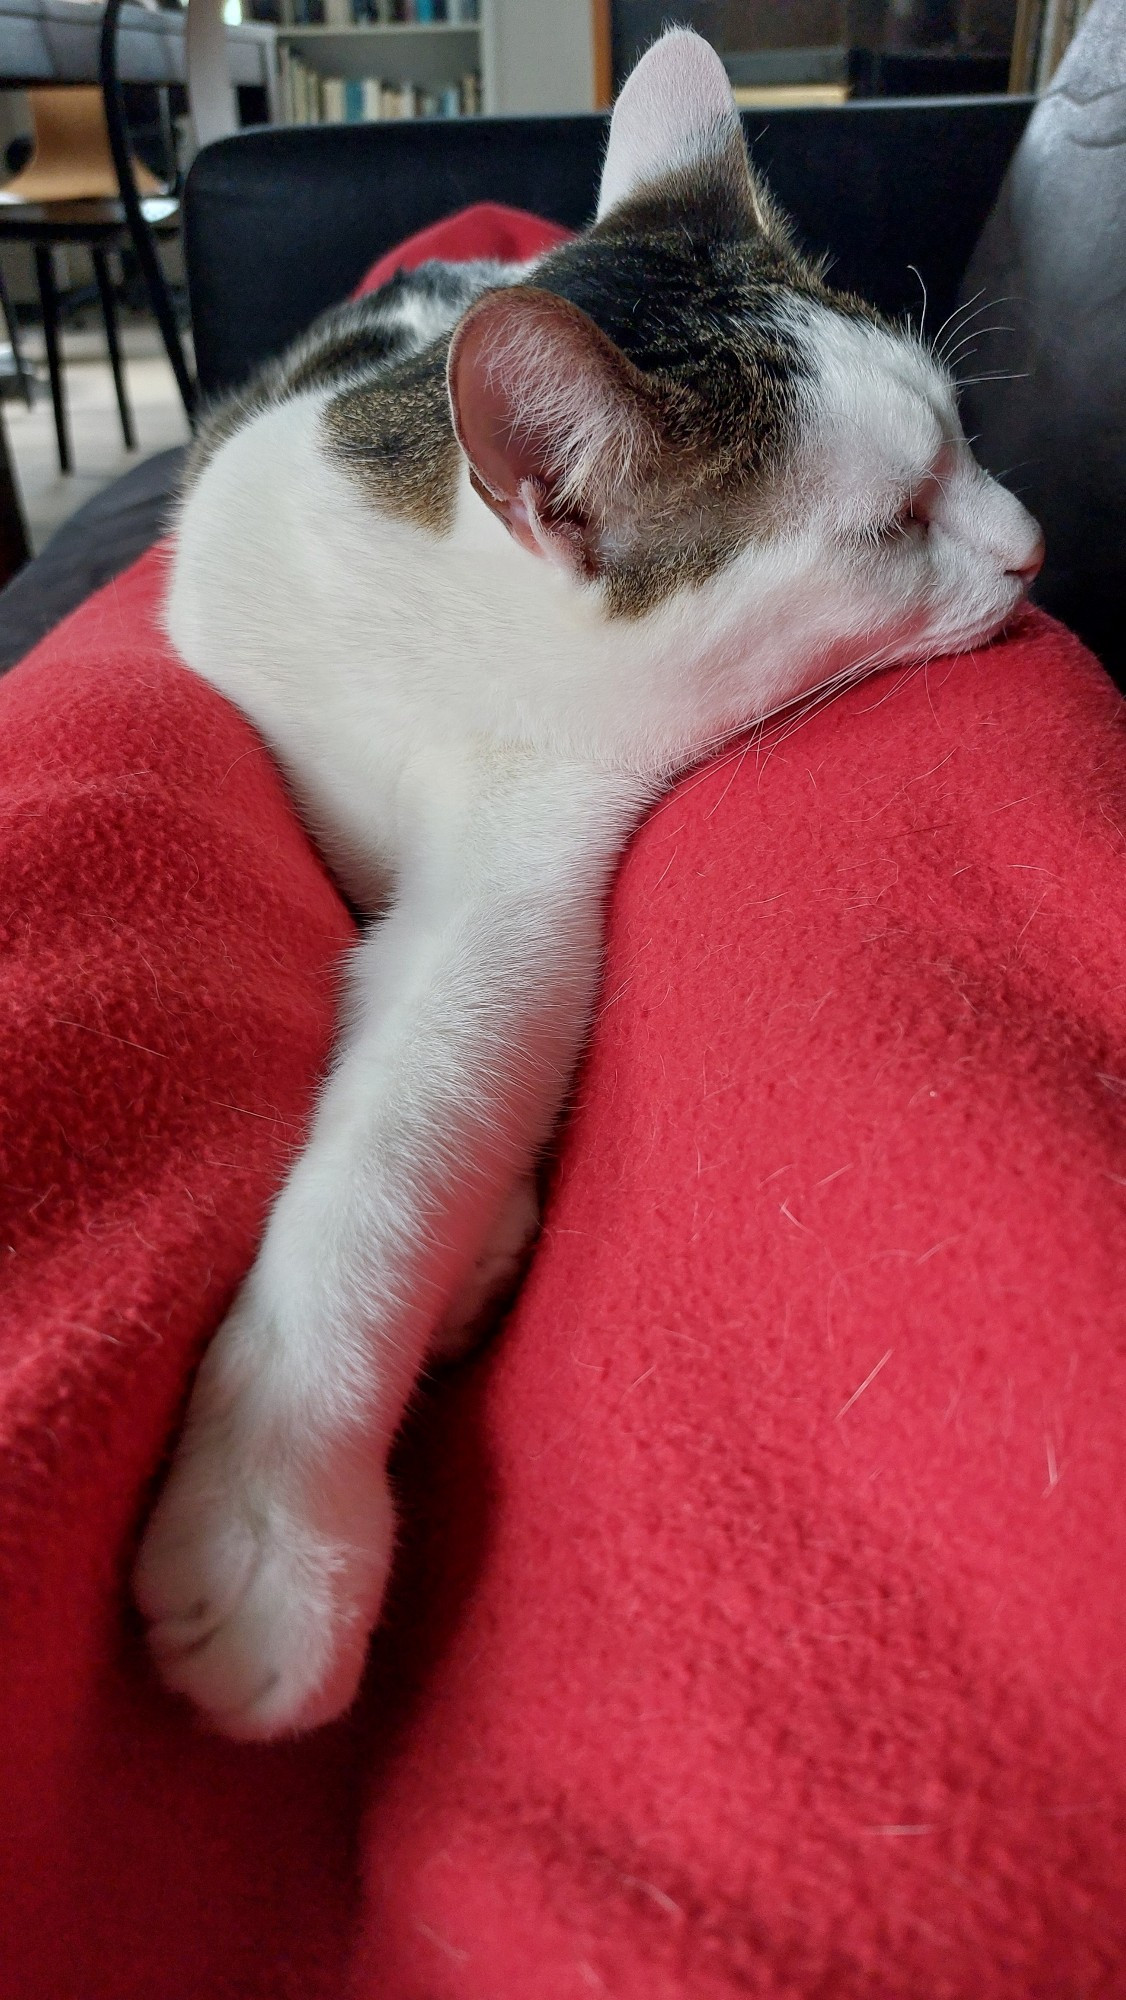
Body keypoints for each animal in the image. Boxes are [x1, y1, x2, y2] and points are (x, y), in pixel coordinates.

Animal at [134, 19, 1048, 1736]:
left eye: (963, 443)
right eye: (894, 525)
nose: (1034, 548)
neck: (430, 622)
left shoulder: (520, 872)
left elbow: (405, 1134)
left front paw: (264, 1526)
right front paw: (273, 1523)